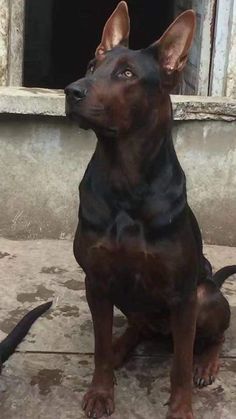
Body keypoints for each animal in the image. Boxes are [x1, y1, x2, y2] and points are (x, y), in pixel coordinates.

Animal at [65, 2, 236, 416]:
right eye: (92, 66)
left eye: (126, 73)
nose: (71, 91)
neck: (126, 178)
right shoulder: (97, 282)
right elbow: (99, 348)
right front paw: (101, 391)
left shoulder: (183, 296)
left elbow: (179, 364)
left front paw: (181, 407)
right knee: (136, 327)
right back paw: (122, 346)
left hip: (205, 296)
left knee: (212, 337)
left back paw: (207, 362)